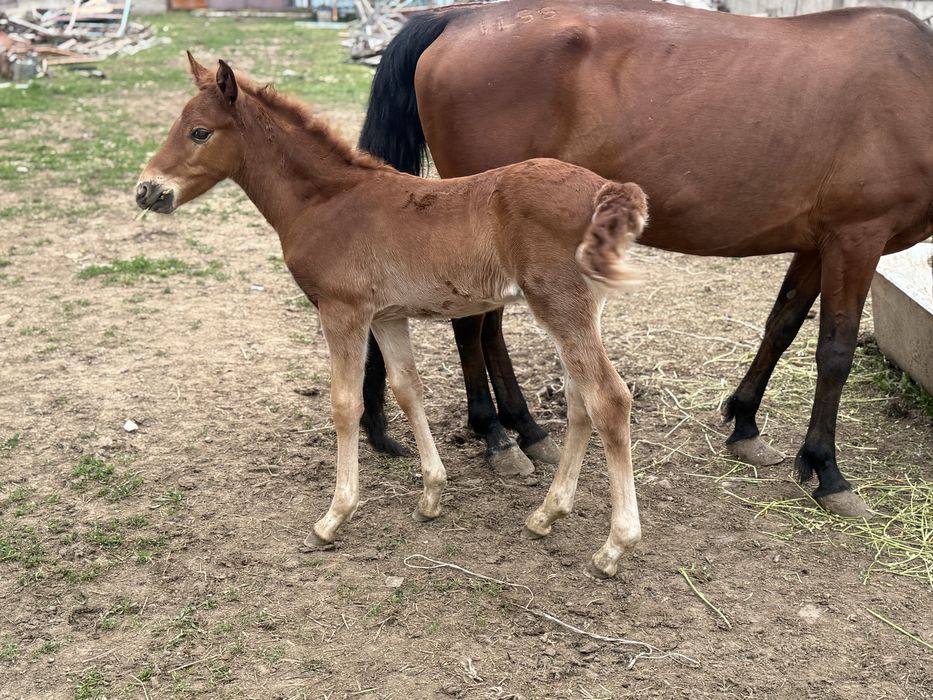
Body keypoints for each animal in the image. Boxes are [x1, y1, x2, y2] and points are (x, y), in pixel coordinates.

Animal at [135, 53, 650, 578]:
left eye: (199, 132)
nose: (147, 190)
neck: (329, 203)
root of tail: (605, 189)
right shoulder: (386, 316)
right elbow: (407, 389)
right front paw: (431, 495)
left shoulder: (343, 311)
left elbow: (345, 404)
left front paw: (334, 517)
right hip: (575, 312)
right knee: (579, 401)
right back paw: (546, 514)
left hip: (561, 308)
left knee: (608, 400)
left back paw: (614, 546)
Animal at [358, 0, 933, 519]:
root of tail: (458, 16)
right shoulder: (857, 238)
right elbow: (835, 352)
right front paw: (828, 471)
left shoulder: (818, 242)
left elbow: (783, 325)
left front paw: (746, 424)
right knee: (472, 326)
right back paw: (497, 436)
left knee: (488, 329)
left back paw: (527, 430)